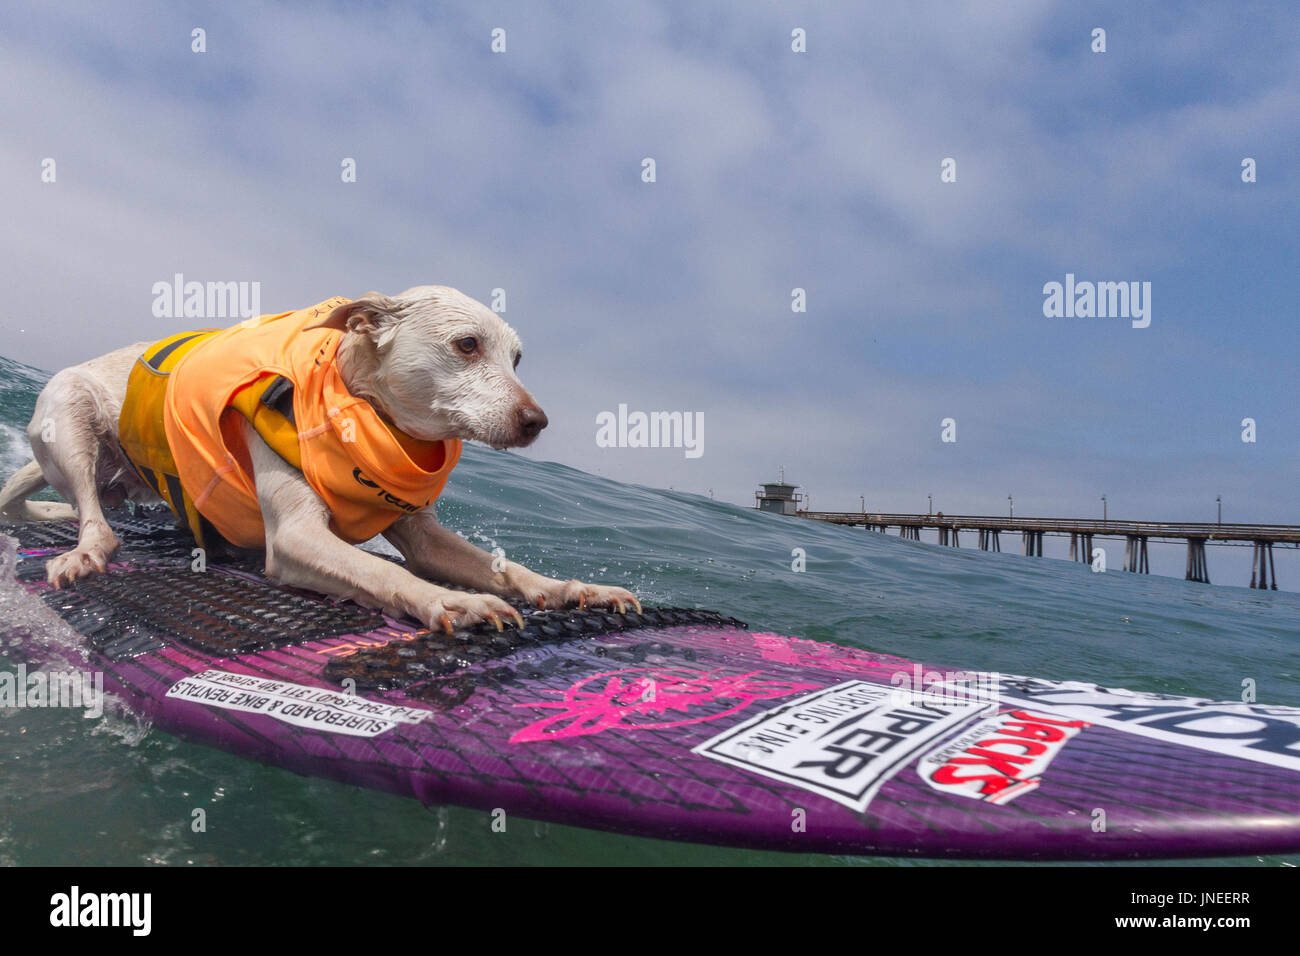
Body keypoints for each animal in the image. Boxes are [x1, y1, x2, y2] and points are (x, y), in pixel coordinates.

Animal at [0, 283, 639, 632]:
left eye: (518, 359)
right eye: (466, 345)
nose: (537, 422)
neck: (363, 413)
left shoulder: (424, 538)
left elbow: (507, 569)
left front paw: (571, 589)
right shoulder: (296, 540)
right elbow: (384, 570)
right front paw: (450, 600)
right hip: (68, 409)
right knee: (92, 519)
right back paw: (85, 549)